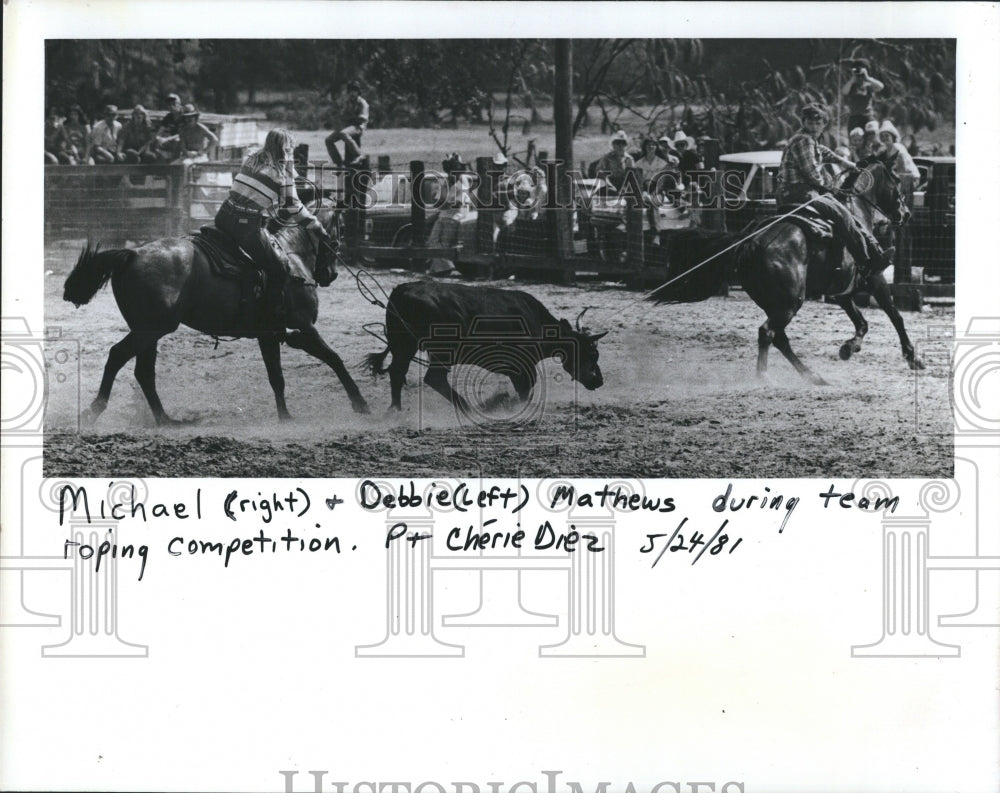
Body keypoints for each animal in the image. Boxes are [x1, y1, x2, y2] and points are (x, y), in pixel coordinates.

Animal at [62, 207, 370, 424]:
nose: (331, 275)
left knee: (144, 373)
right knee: (118, 356)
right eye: (341, 230)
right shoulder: (304, 326)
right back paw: (93, 411)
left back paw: (165, 419)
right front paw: (360, 403)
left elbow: (277, 377)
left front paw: (285, 416)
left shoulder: (269, 335)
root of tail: (133, 254)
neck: (290, 256)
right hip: (151, 329)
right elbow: (333, 358)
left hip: (148, 331)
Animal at [648, 155, 920, 384]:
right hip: (790, 302)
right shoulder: (875, 279)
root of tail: (750, 241)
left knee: (779, 338)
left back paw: (813, 377)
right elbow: (895, 315)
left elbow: (862, 322)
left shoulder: (841, 292)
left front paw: (848, 348)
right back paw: (766, 377)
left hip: (774, 301)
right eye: (897, 181)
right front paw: (912, 357)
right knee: (767, 333)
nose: (906, 213)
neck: (857, 211)